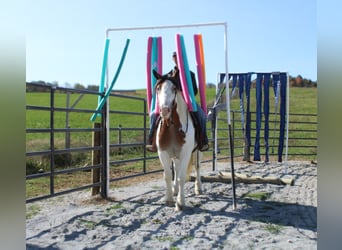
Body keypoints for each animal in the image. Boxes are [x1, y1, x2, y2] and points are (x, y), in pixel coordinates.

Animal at [153, 70, 203, 211]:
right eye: (158, 88)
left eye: (174, 88)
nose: (164, 110)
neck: (172, 127)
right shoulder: (163, 153)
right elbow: (168, 175)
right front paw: (169, 199)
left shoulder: (186, 153)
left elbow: (181, 177)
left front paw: (180, 203)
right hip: (175, 154)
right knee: (176, 166)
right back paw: (175, 190)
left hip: (197, 151)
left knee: (197, 166)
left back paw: (199, 188)